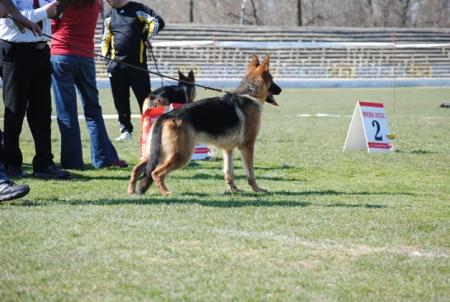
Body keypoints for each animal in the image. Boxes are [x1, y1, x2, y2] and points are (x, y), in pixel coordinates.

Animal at [127, 54, 282, 196]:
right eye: (272, 81)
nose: (280, 89)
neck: (249, 94)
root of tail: (165, 116)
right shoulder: (247, 146)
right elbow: (250, 173)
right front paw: (256, 189)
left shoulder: (228, 149)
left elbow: (229, 172)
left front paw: (233, 190)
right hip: (181, 155)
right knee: (156, 173)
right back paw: (166, 193)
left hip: (157, 153)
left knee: (137, 168)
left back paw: (132, 191)